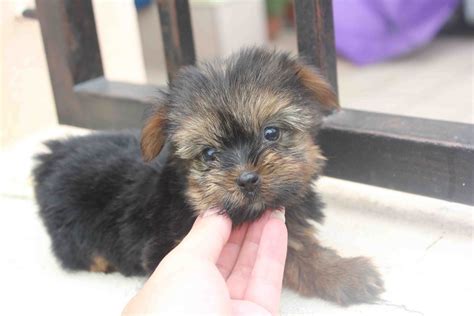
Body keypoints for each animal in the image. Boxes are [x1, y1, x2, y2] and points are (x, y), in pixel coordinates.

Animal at [33, 48, 384, 304]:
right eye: (209, 154)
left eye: (271, 133)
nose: (247, 178)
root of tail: (53, 154)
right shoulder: (165, 248)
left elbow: (300, 251)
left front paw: (342, 274)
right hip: (73, 231)